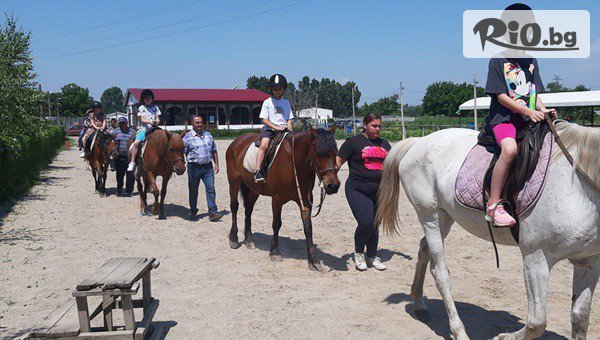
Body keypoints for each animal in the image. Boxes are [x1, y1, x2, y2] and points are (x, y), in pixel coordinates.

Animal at [225, 126, 340, 272]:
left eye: (335, 152)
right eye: (319, 154)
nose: (333, 186)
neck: (294, 162)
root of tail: (237, 141)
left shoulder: (305, 201)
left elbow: (308, 228)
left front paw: (314, 261)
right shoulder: (277, 199)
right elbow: (276, 223)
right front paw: (275, 252)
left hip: (253, 189)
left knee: (248, 210)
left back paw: (249, 240)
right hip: (234, 182)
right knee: (234, 206)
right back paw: (233, 239)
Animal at [378, 122, 596, 340]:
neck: (578, 185)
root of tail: (419, 141)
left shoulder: (588, 262)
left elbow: (580, 318)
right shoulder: (536, 257)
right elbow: (536, 323)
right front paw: (505, 337)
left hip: (444, 218)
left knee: (424, 248)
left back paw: (419, 306)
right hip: (429, 215)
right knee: (440, 273)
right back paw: (458, 331)